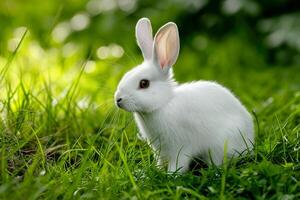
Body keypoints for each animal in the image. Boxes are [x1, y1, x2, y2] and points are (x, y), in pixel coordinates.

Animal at [114, 18, 253, 173]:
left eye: (144, 83)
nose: (118, 99)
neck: (163, 104)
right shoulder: (160, 151)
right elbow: (160, 161)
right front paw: (156, 170)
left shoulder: (180, 148)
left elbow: (178, 164)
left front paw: (170, 175)